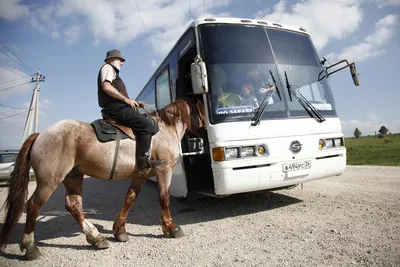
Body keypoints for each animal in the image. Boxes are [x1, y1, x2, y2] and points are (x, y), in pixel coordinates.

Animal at [0, 97, 206, 260]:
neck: (164, 130)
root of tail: (40, 135)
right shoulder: (164, 171)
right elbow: (164, 198)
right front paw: (171, 228)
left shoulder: (140, 176)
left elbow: (129, 199)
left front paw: (119, 231)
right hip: (49, 182)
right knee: (33, 205)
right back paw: (30, 248)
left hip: (73, 177)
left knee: (73, 205)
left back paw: (97, 238)